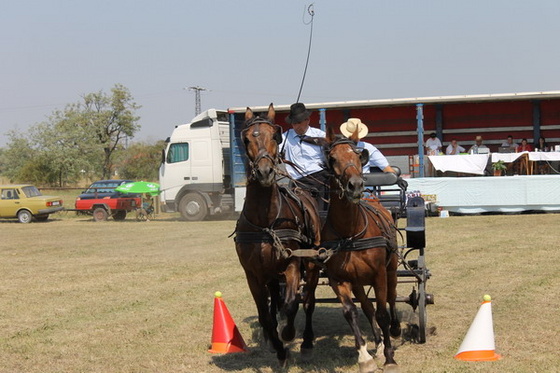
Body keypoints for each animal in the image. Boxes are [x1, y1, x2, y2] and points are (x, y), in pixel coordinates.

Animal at [233, 103, 322, 364]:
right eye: (246, 138)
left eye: (275, 135)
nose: (264, 172)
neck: (266, 223)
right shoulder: (253, 273)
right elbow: (265, 315)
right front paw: (278, 349)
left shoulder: (291, 264)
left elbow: (292, 304)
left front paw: (288, 334)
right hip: (270, 274)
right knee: (275, 302)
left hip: (311, 263)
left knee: (309, 301)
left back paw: (307, 341)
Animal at [320, 126, 402, 370]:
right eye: (332, 158)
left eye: (358, 156)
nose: (355, 185)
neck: (350, 233)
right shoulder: (339, 279)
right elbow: (352, 312)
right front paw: (365, 357)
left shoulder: (379, 274)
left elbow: (383, 313)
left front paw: (390, 358)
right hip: (357, 282)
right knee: (367, 307)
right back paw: (379, 344)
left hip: (391, 269)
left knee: (392, 298)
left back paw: (394, 331)